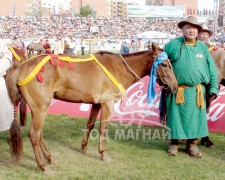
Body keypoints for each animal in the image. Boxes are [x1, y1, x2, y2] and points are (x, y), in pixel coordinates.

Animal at [4, 43, 178, 172]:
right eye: (165, 64)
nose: (175, 87)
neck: (118, 67)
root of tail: (21, 67)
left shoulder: (96, 103)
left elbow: (90, 124)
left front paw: (84, 147)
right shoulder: (107, 103)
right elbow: (103, 128)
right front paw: (103, 153)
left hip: (39, 108)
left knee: (39, 134)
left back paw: (49, 157)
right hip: (41, 107)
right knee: (34, 134)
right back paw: (42, 165)